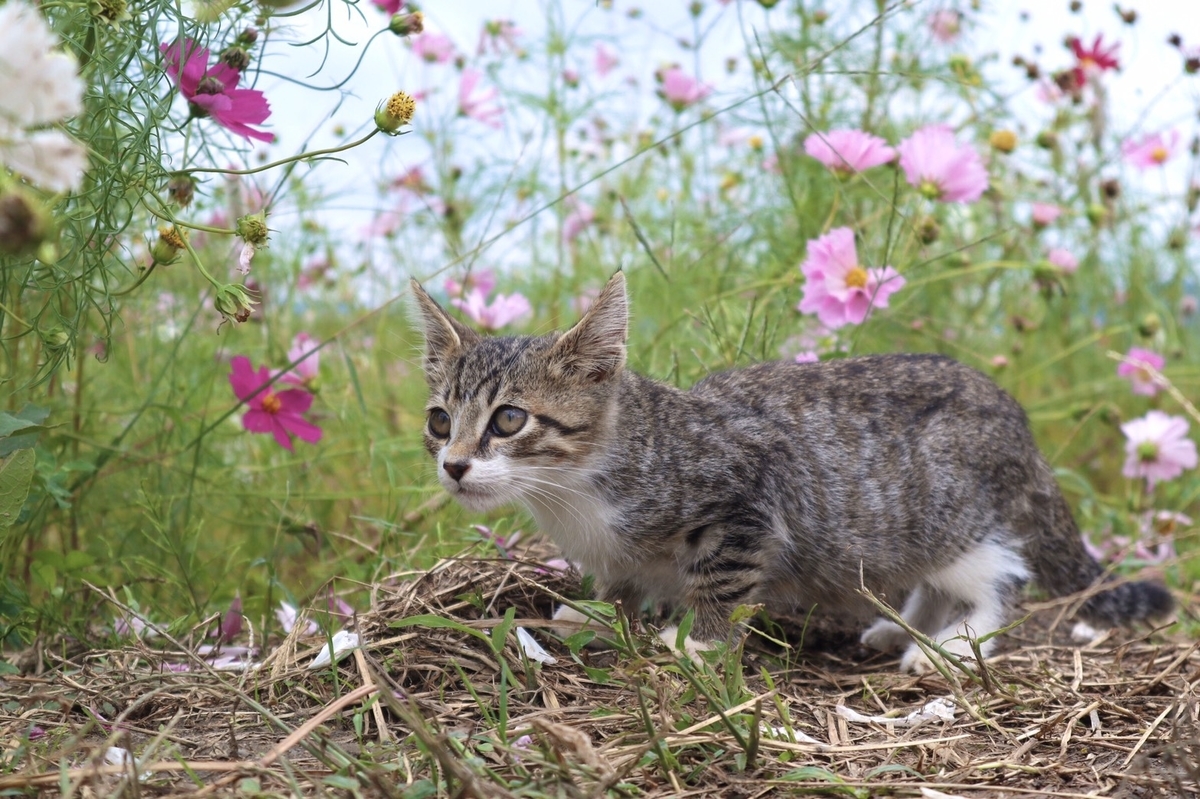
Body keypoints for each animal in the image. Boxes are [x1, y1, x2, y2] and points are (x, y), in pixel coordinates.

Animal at [410, 271, 1171, 667]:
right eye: (440, 420)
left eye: (510, 419)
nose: (455, 466)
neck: (572, 493)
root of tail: (1009, 408)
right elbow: (623, 583)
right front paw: (600, 612)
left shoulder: (746, 495)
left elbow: (721, 577)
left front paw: (700, 641)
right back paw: (903, 627)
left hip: (947, 517)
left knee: (1000, 574)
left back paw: (950, 643)